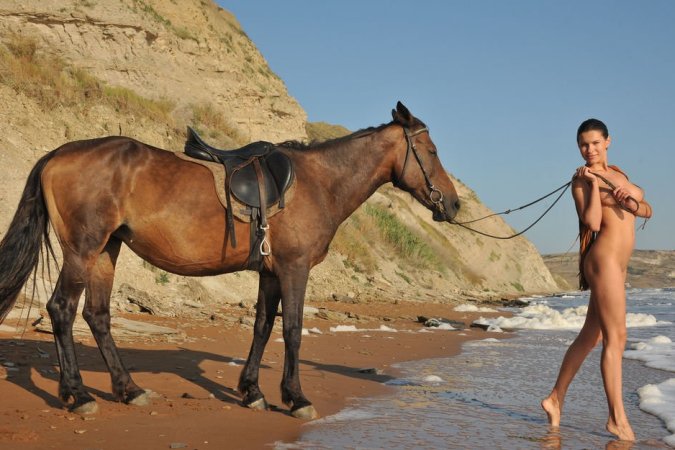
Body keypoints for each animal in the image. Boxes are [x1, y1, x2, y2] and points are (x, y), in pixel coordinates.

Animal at [0, 101, 459, 419]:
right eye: (432, 150)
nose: (453, 204)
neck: (318, 183)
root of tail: (58, 154)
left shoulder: (271, 272)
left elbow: (262, 327)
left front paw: (253, 391)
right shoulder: (293, 268)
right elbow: (293, 330)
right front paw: (296, 398)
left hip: (106, 251)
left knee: (97, 316)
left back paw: (129, 390)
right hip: (83, 249)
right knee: (62, 309)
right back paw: (77, 395)